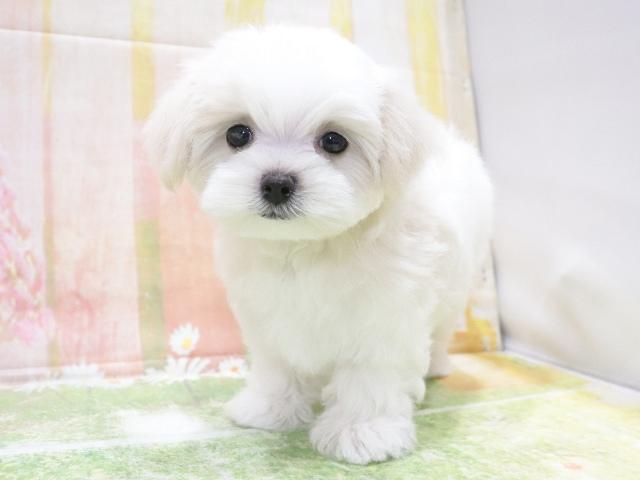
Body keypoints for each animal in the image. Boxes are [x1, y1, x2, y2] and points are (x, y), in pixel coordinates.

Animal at [144, 25, 493, 464]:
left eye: (334, 141)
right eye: (237, 134)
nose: (277, 183)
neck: (305, 246)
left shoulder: (384, 315)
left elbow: (370, 373)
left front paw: (363, 432)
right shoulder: (267, 314)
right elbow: (277, 364)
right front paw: (269, 409)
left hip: (455, 288)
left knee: (443, 327)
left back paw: (437, 365)